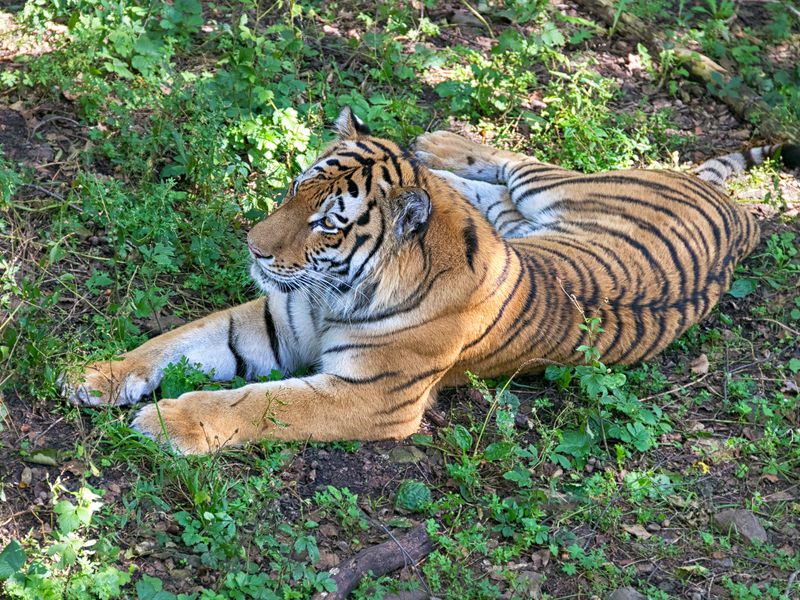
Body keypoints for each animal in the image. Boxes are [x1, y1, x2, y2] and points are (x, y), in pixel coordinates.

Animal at [64, 109, 800, 454]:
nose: (254, 247)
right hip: (522, 211)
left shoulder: (370, 397)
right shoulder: (274, 320)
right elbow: (173, 342)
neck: (337, 291)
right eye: (295, 188)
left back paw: (442, 147)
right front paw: (95, 374)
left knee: (519, 164)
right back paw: (438, 150)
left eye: (326, 225)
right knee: (485, 184)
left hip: (560, 185)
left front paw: (167, 422)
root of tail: (734, 209)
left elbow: (258, 404)